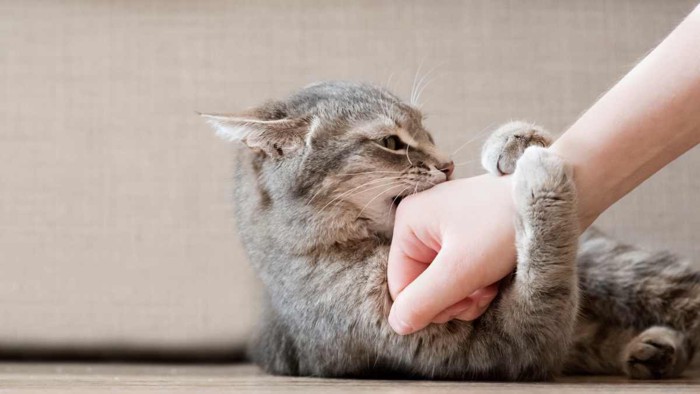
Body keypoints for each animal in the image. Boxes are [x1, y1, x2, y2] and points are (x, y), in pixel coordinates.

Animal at [202, 81, 700, 380]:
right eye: (391, 142)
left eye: (427, 130)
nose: (448, 165)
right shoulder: (504, 349)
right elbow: (546, 284)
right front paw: (541, 183)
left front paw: (514, 142)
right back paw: (651, 351)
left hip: (618, 268)